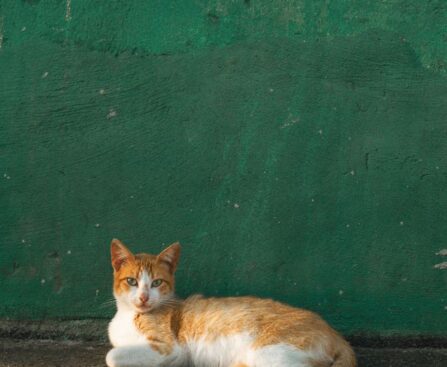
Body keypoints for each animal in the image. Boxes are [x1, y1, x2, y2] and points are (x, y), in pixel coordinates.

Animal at [106, 240, 356, 367]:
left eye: (156, 282)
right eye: (132, 281)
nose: (143, 297)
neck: (128, 316)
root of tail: (337, 336)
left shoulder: (170, 348)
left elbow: (112, 356)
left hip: (268, 353)